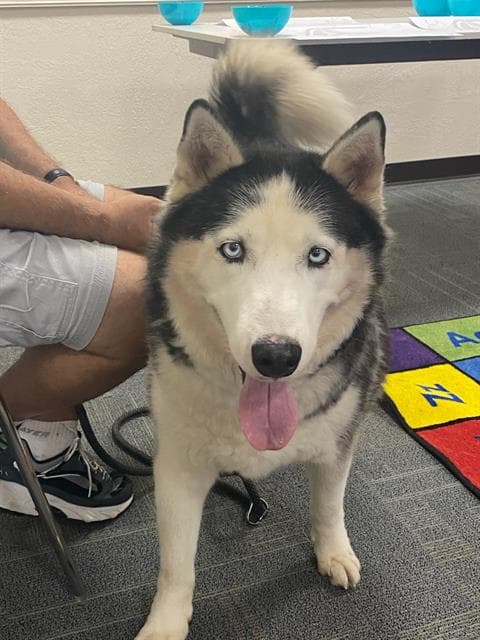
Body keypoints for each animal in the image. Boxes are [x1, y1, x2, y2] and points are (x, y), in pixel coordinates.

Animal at [137, 40, 389, 640]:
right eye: (233, 249)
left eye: (317, 255)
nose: (276, 356)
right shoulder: (176, 465)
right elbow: (176, 564)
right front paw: (166, 623)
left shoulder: (337, 441)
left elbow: (330, 503)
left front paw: (333, 551)